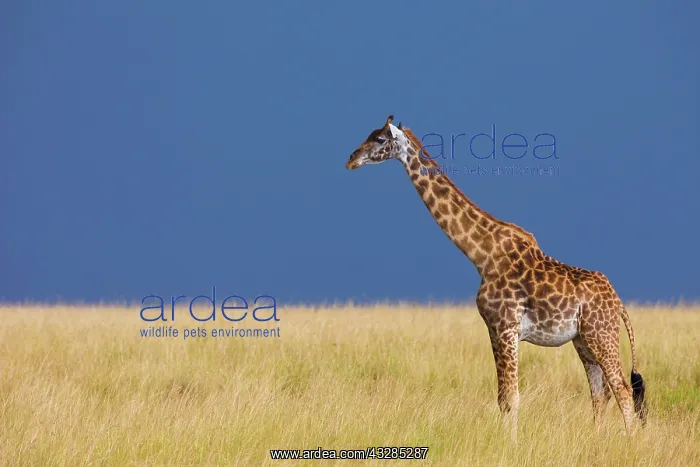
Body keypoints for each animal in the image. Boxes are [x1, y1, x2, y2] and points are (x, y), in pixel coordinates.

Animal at [346, 115, 647, 437]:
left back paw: (628, 442)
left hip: (602, 335)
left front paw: (510, 443)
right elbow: (503, 398)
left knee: (622, 390)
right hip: (583, 340)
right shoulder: (493, 330)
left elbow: (511, 397)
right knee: (599, 394)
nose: (351, 159)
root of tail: (618, 304)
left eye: (379, 139)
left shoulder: (506, 328)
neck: (482, 256)